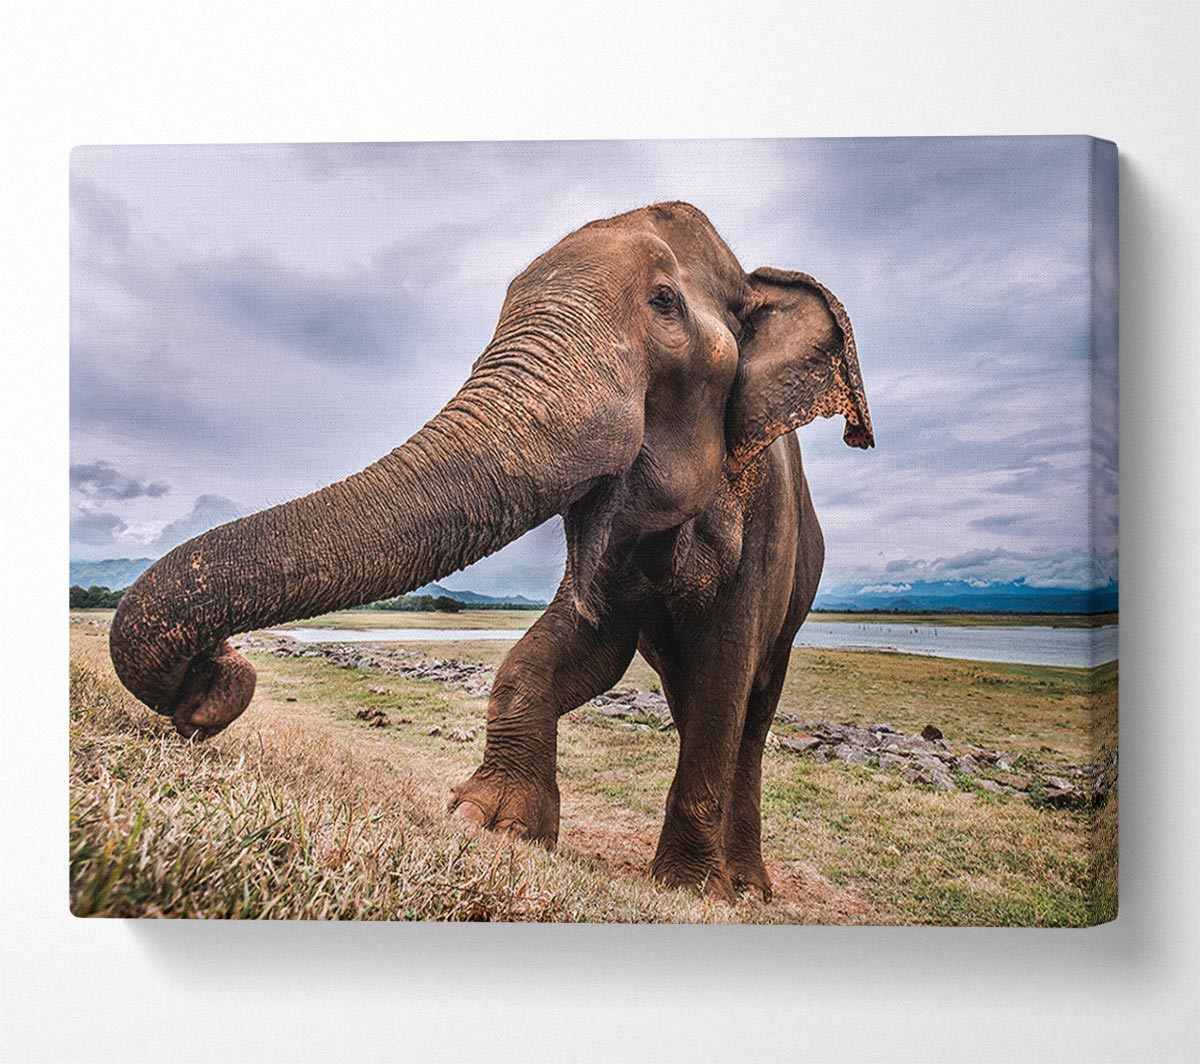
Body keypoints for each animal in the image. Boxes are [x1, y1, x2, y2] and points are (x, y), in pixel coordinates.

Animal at [109, 201, 873, 902]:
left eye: (664, 301)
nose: (211, 681)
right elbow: (583, 645)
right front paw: (488, 822)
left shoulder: (767, 526)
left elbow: (726, 666)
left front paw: (690, 889)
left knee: (750, 708)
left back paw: (746, 886)